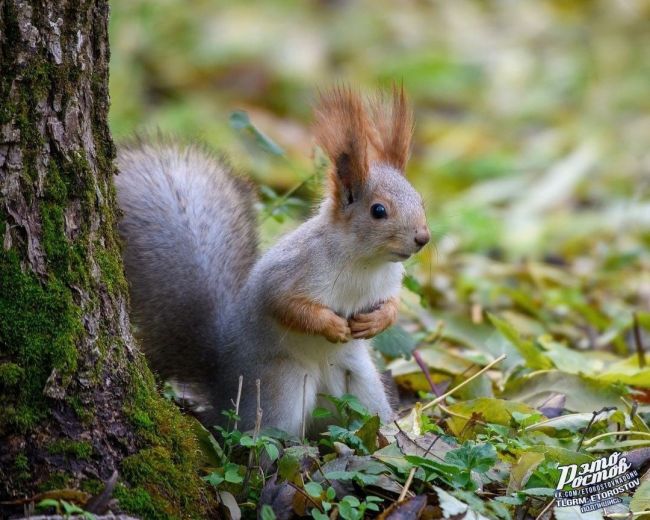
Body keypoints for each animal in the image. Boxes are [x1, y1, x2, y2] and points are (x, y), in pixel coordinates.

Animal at [115, 85, 430, 434]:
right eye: (378, 210)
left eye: (420, 200)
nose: (422, 238)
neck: (364, 261)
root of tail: (226, 389)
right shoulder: (292, 271)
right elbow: (286, 306)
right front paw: (332, 326)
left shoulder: (388, 281)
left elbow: (392, 305)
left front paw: (377, 321)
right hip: (282, 387)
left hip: (362, 387)